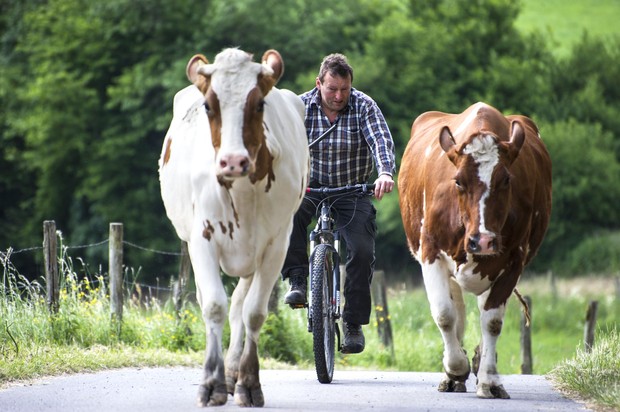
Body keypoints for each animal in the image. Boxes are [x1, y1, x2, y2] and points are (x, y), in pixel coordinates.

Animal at [157, 47, 308, 406]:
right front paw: (211, 384)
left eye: (259, 104)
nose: (233, 162)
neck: (242, 190)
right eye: (209, 105)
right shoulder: (202, 239)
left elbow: (253, 312)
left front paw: (248, 383)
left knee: (240, 306)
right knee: (216, 302)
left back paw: (233, 372)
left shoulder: (276, 245)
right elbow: (214, 305)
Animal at [400, 102, 556, 400]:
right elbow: (444, 315)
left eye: (506, 180)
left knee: (483, 311)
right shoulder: (431, 253)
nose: (482, 241)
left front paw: (489, 379)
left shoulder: (513, 260)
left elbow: (492, 321)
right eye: (458, 181)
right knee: (457, 312)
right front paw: (455, 368)